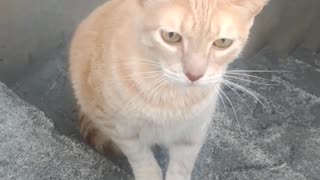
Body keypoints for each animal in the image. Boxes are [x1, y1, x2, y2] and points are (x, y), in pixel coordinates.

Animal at [69, 0, 268, 179]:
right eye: (171, 36)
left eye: (223, 42)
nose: (194, 75)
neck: (170, 96)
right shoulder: (117, 127)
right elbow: (140, 156)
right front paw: (149, 174)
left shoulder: (194, 131)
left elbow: (182, 166)